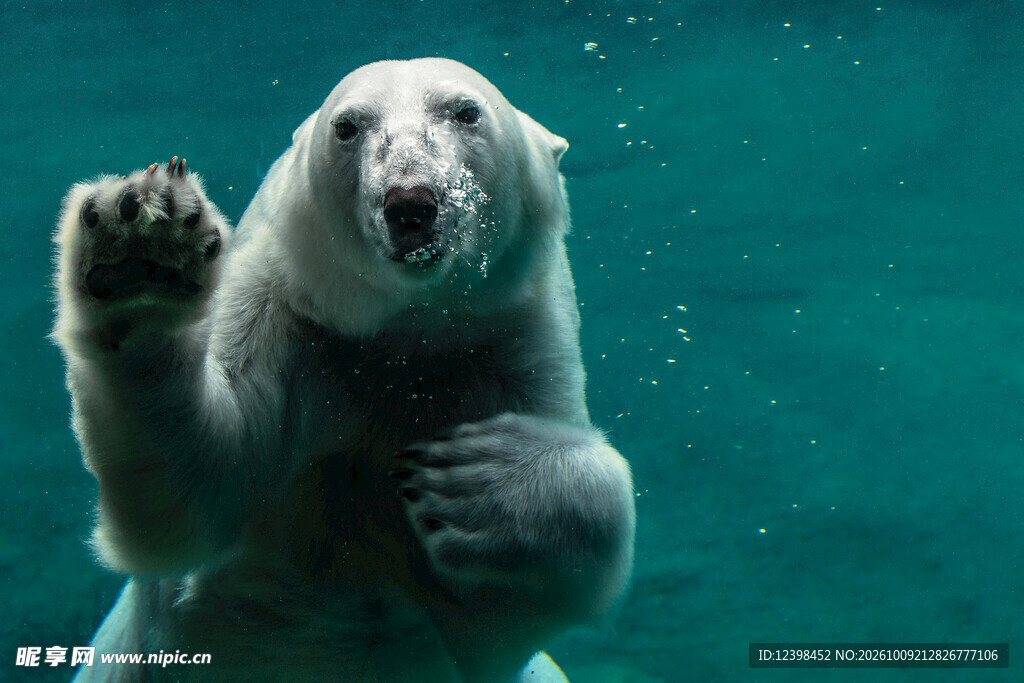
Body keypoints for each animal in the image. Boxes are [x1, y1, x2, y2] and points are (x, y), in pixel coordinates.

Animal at [53, 58, 635, 682]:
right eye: (347, 126)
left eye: (465, 110)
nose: (411, 203)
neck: (403, 331)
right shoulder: (285, 312)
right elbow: (196, 489)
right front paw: (140, 249)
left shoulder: (510, 342)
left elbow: (515, 596)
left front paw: (472, 478)